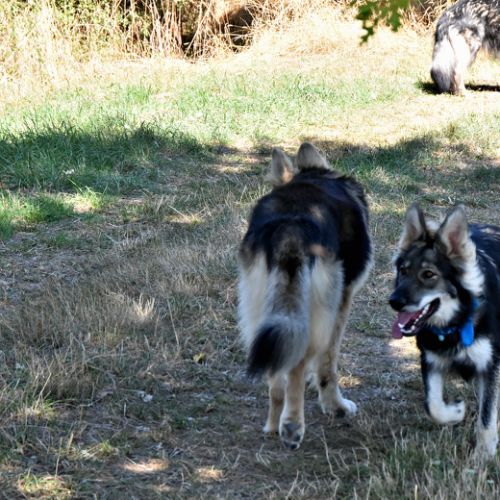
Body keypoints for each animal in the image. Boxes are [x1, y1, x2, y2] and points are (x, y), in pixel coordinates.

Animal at [238, 142, 372, 449]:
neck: (314, 178)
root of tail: (291, 226)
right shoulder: (341, 305)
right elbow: (327, 366)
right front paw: (336, 406)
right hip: (317, 315)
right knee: (296, 365)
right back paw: (292, 426)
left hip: (264, 314)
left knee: (277, 371)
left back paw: (273, 424)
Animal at [390, 203, 500, 458]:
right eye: (403, 270)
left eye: (429, 274)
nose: (394, 302)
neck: (455, 324)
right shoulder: (430, 359)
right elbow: (433, 406)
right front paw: (456, 412)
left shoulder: (490, 365)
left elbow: (487, 414)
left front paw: (483, 454)